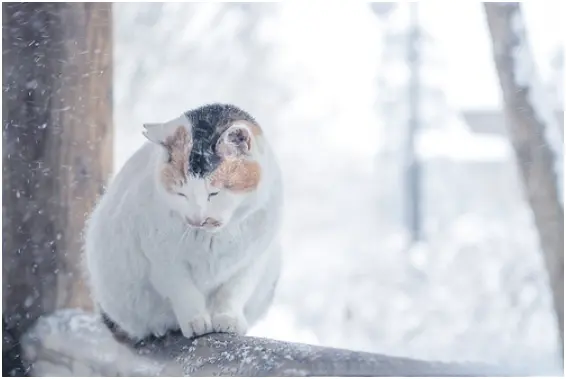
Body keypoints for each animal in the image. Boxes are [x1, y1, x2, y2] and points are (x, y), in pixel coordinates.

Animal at [84, 104, 284, 344]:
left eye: (214, 193)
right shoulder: (163, 261)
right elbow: (184, 293)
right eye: (181, 194)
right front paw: (196, 322)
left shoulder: (251, 261)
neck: (214, 237)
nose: (198, 220)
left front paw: (228, 319)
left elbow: (232, 292)